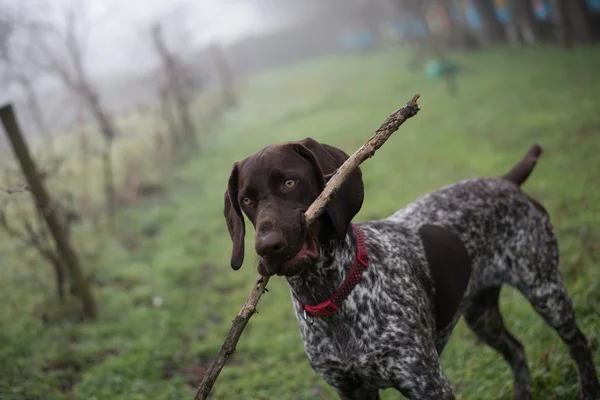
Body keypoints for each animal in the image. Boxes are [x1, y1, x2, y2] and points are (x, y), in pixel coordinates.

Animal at [223, 137, 596, 396]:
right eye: (247, 200)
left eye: (289, 182)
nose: (267, 247)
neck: (333, 293)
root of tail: (505, 181)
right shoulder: (352, 391)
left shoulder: (427, 383)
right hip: (481, 315)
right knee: (517, 352)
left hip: (546, 290)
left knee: (579, 344)